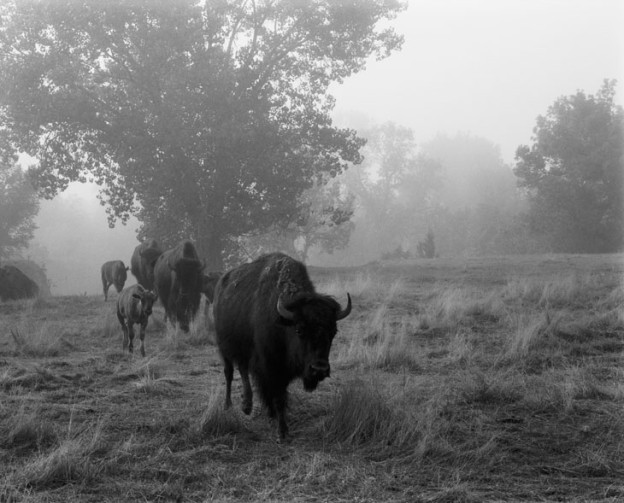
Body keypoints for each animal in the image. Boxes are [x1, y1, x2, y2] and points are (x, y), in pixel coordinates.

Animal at [213, 252, 352, 440]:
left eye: (333, 332)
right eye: (299, 330)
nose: (319, 369)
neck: (284, 323)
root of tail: (221, 285)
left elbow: (278, 395)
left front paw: (273, 416)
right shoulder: (271, 367)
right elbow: (277, 396)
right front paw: (282, 432)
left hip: (242, 350)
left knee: (242, 370)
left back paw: (247, 406)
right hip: (225, 348)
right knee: (229, 373)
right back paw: (228, 406)